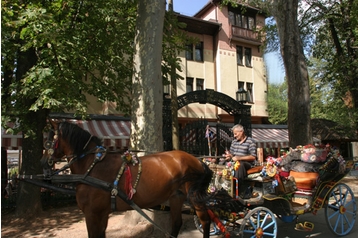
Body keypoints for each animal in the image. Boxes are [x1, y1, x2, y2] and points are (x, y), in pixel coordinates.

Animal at [44, 120, 213, 237]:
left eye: (47, 141)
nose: (44, 163)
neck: (92, 166)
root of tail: (198, 160)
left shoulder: (92, 214)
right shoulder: (102, 214)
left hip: (194, 197)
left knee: (205, 221)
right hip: (176, 196)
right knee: (177, 223)